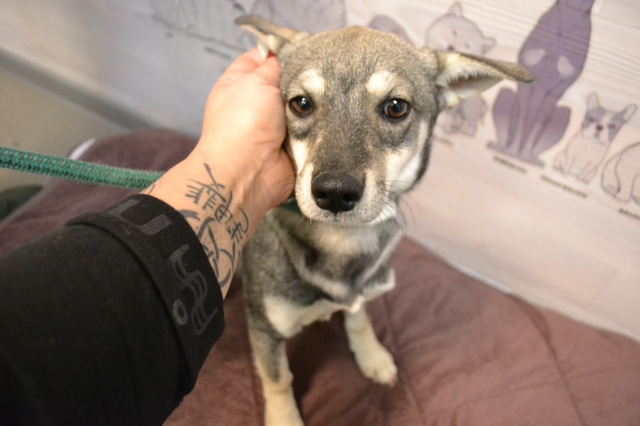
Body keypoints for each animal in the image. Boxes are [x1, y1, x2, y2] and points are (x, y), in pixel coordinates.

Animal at [235, 15, 533, 426]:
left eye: (395, 107)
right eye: (301, 103)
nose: (334, 192)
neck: (343, 240)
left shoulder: (365, 287)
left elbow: (359, 317)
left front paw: (371, 355)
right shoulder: (264, 323)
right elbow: (279, 380)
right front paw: (284, 419)